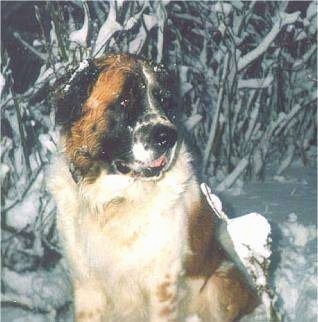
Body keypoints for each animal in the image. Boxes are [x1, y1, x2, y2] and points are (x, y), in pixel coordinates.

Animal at [49, 54, 258, 320]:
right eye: (125, 100)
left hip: (220, 281)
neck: (114, 200)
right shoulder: (87, 285)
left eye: (164, 101)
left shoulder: (162, 285)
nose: (168, 136)